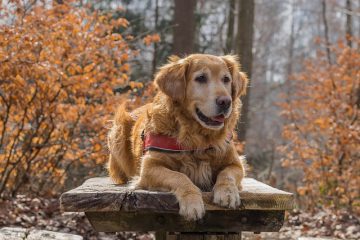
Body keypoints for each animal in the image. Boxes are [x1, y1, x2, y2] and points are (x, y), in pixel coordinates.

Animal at [107, 53, 248, 220]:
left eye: (226, 79)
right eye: (201, 78)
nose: (226, 102)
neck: (197, 138)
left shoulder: (236, 163)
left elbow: (227, 174)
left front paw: (228, 192)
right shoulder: (149, 167)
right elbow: (180, 177)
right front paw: (192, 202)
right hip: (118, 129)